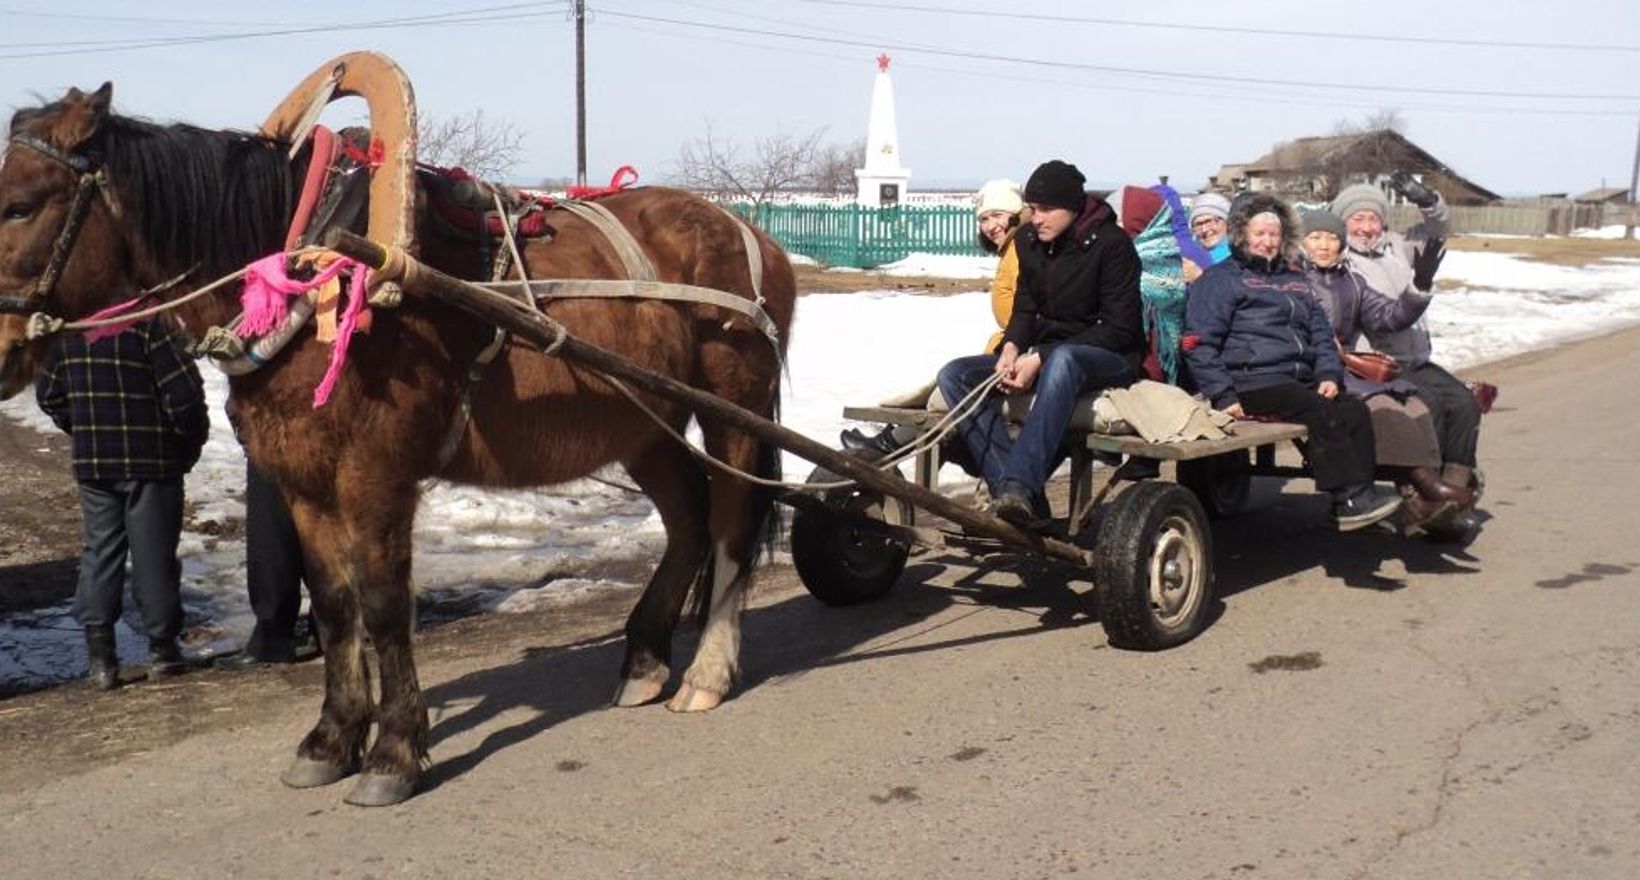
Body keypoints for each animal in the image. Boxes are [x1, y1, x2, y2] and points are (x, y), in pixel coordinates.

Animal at [0, 85, 793, 806]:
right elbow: (332, 604)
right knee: (688, 520)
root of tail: (749, 230)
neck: (316, 275)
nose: (3, 350)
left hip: (735, 410)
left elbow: (382, 603)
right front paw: (331, 738)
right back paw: (645, 660)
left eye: (19, 205)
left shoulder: (374, 475)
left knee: (728, 523)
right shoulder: (302, 481)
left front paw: (395, 752)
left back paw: (708, 671)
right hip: (644, 423)